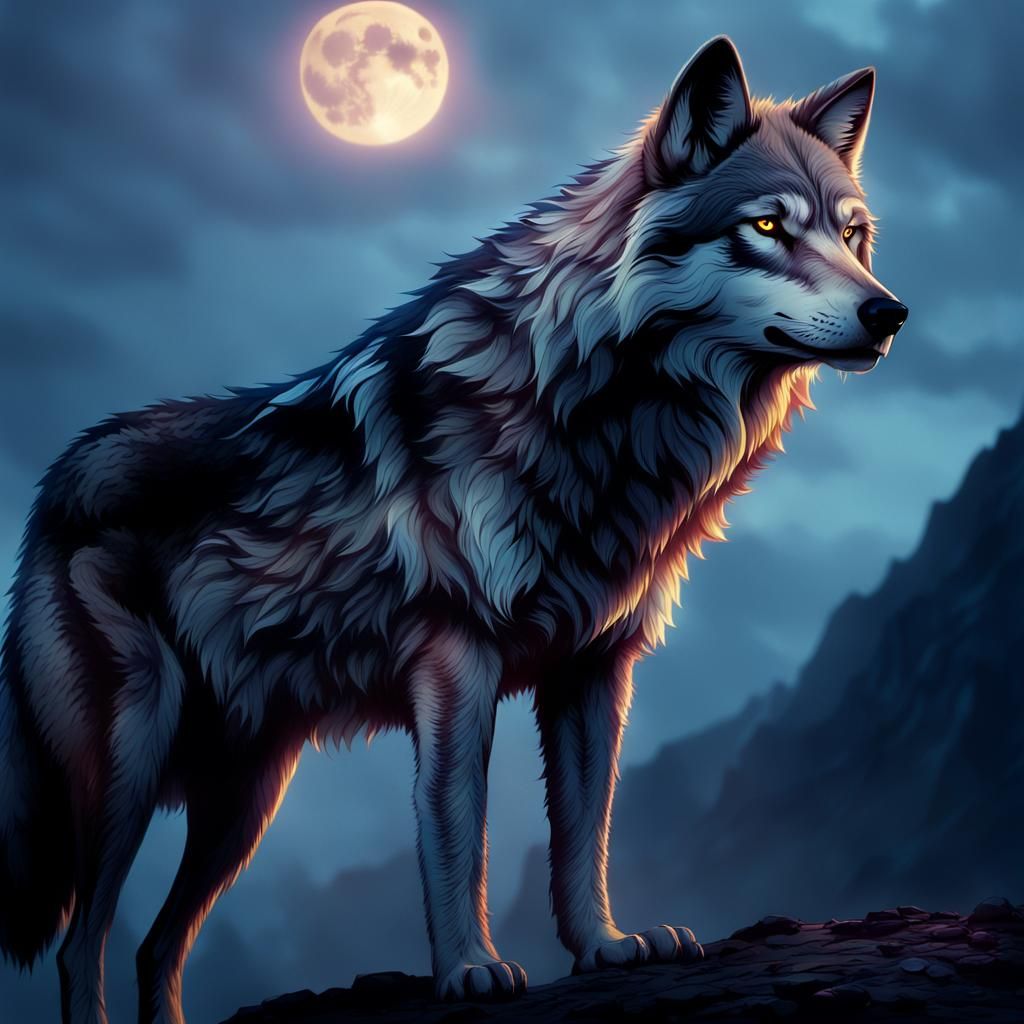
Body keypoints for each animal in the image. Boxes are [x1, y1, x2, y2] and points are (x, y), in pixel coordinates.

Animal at [0, 35, 906, 1024]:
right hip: (127, 769)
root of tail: (57, 477)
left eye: (852, 236)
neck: (601, 415)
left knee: (157, 947)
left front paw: (605, 946)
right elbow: (457, 833)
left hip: (246, 802)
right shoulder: (454, 659)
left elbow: (585, 830)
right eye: (769, 227)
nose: (888, 312)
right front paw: (471, 966)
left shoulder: (597, 665)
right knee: (83, 944)